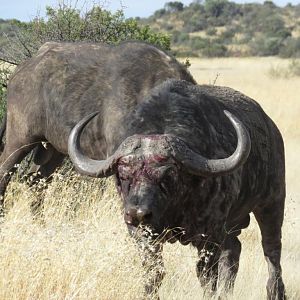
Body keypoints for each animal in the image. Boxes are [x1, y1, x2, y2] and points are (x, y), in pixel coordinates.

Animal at [0, 41, 286, 298]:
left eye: (168, 176)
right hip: (22, 139)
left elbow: (207, 275)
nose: (136, 214)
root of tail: (22, 70)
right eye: (122, 176)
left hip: (272, 203)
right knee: (12, 175)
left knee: (269, 251)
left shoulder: (210, 233)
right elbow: (153, 272)